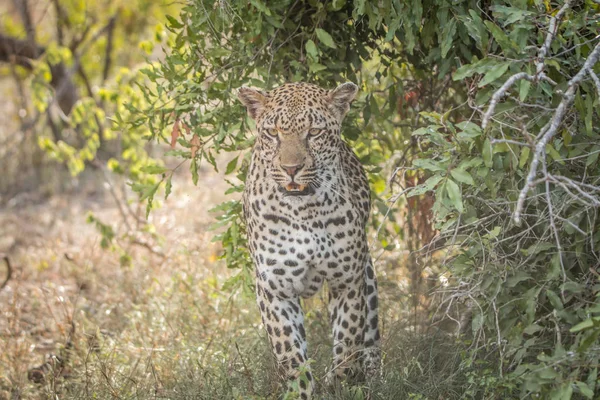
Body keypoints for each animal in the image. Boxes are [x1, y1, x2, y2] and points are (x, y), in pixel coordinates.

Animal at [238, 80, 380, 396]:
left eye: (314, 133)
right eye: (273, 133)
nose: (291, 169)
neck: (304, 210)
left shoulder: (347, 280)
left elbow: (348, 340)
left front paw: (340, 385)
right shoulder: (274, 288)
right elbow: (290, 354)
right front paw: (300, 391)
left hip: (366, 271)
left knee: (371, 334)